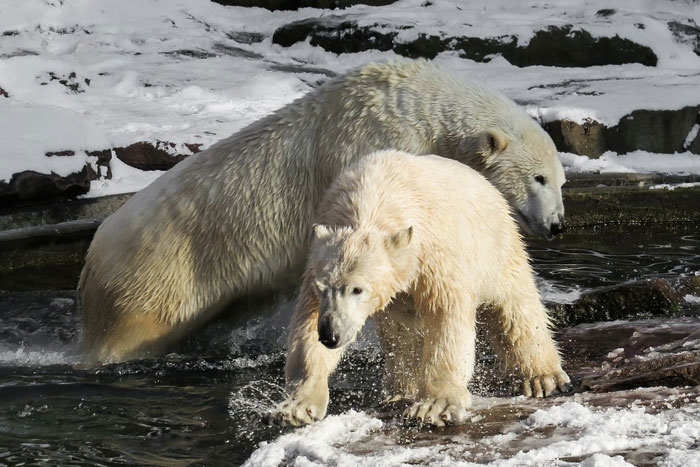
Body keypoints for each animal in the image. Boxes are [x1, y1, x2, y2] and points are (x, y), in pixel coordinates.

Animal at [79, 58, 568, 364]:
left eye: (560, 180)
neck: (416, 108)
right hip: (158, 277)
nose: (558, 225)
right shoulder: (373, 144)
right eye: (538, 179)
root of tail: (91, 259)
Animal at [270, 151, 572, 428]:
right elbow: (306, 325)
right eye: (323, 288)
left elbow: (446, 317)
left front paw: (433, 407)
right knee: (399, 337)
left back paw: (544, 378)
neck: (371, 197)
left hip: (496, 247)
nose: (330, 335)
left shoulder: (433, 253)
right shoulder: (317, 263)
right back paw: (398, 391)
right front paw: (296, 407)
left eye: (358, 289)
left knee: (515, 309)